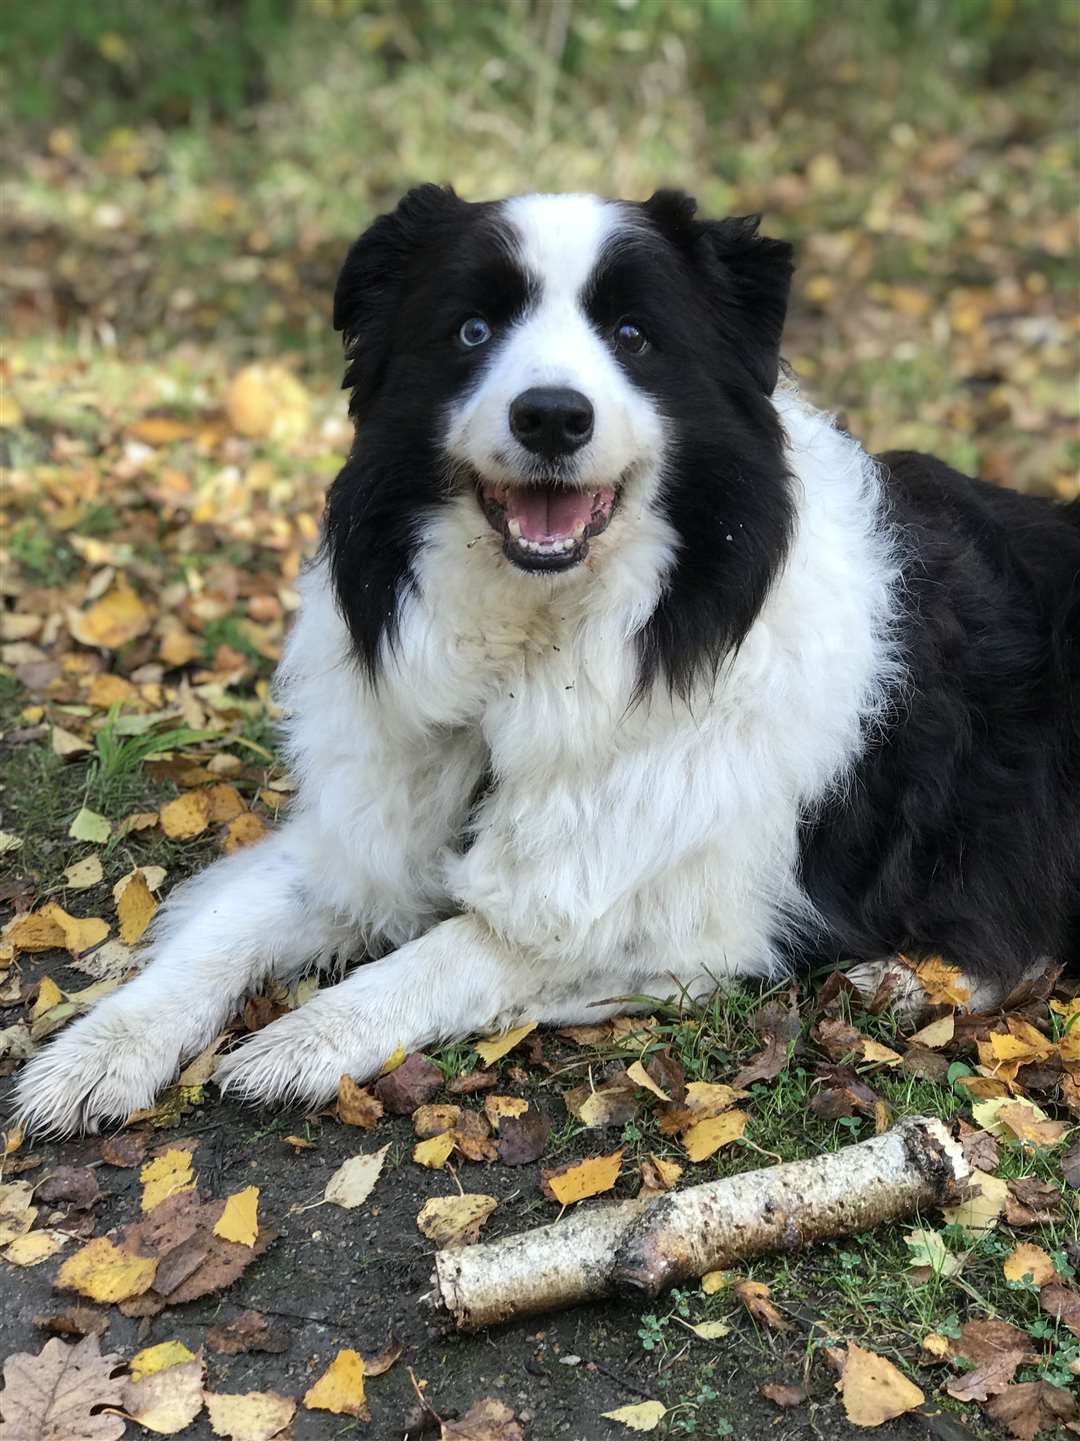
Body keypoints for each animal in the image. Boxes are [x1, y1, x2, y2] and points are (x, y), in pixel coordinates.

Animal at [16, 188, 1078, 1135]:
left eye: (636, 336)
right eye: (474, 329)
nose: (553, 417)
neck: (541, 647)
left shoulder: (691, 913)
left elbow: (458, 946)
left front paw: (304, 1039)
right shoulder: (358, 838)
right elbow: (220, 934)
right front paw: (95, 1053)